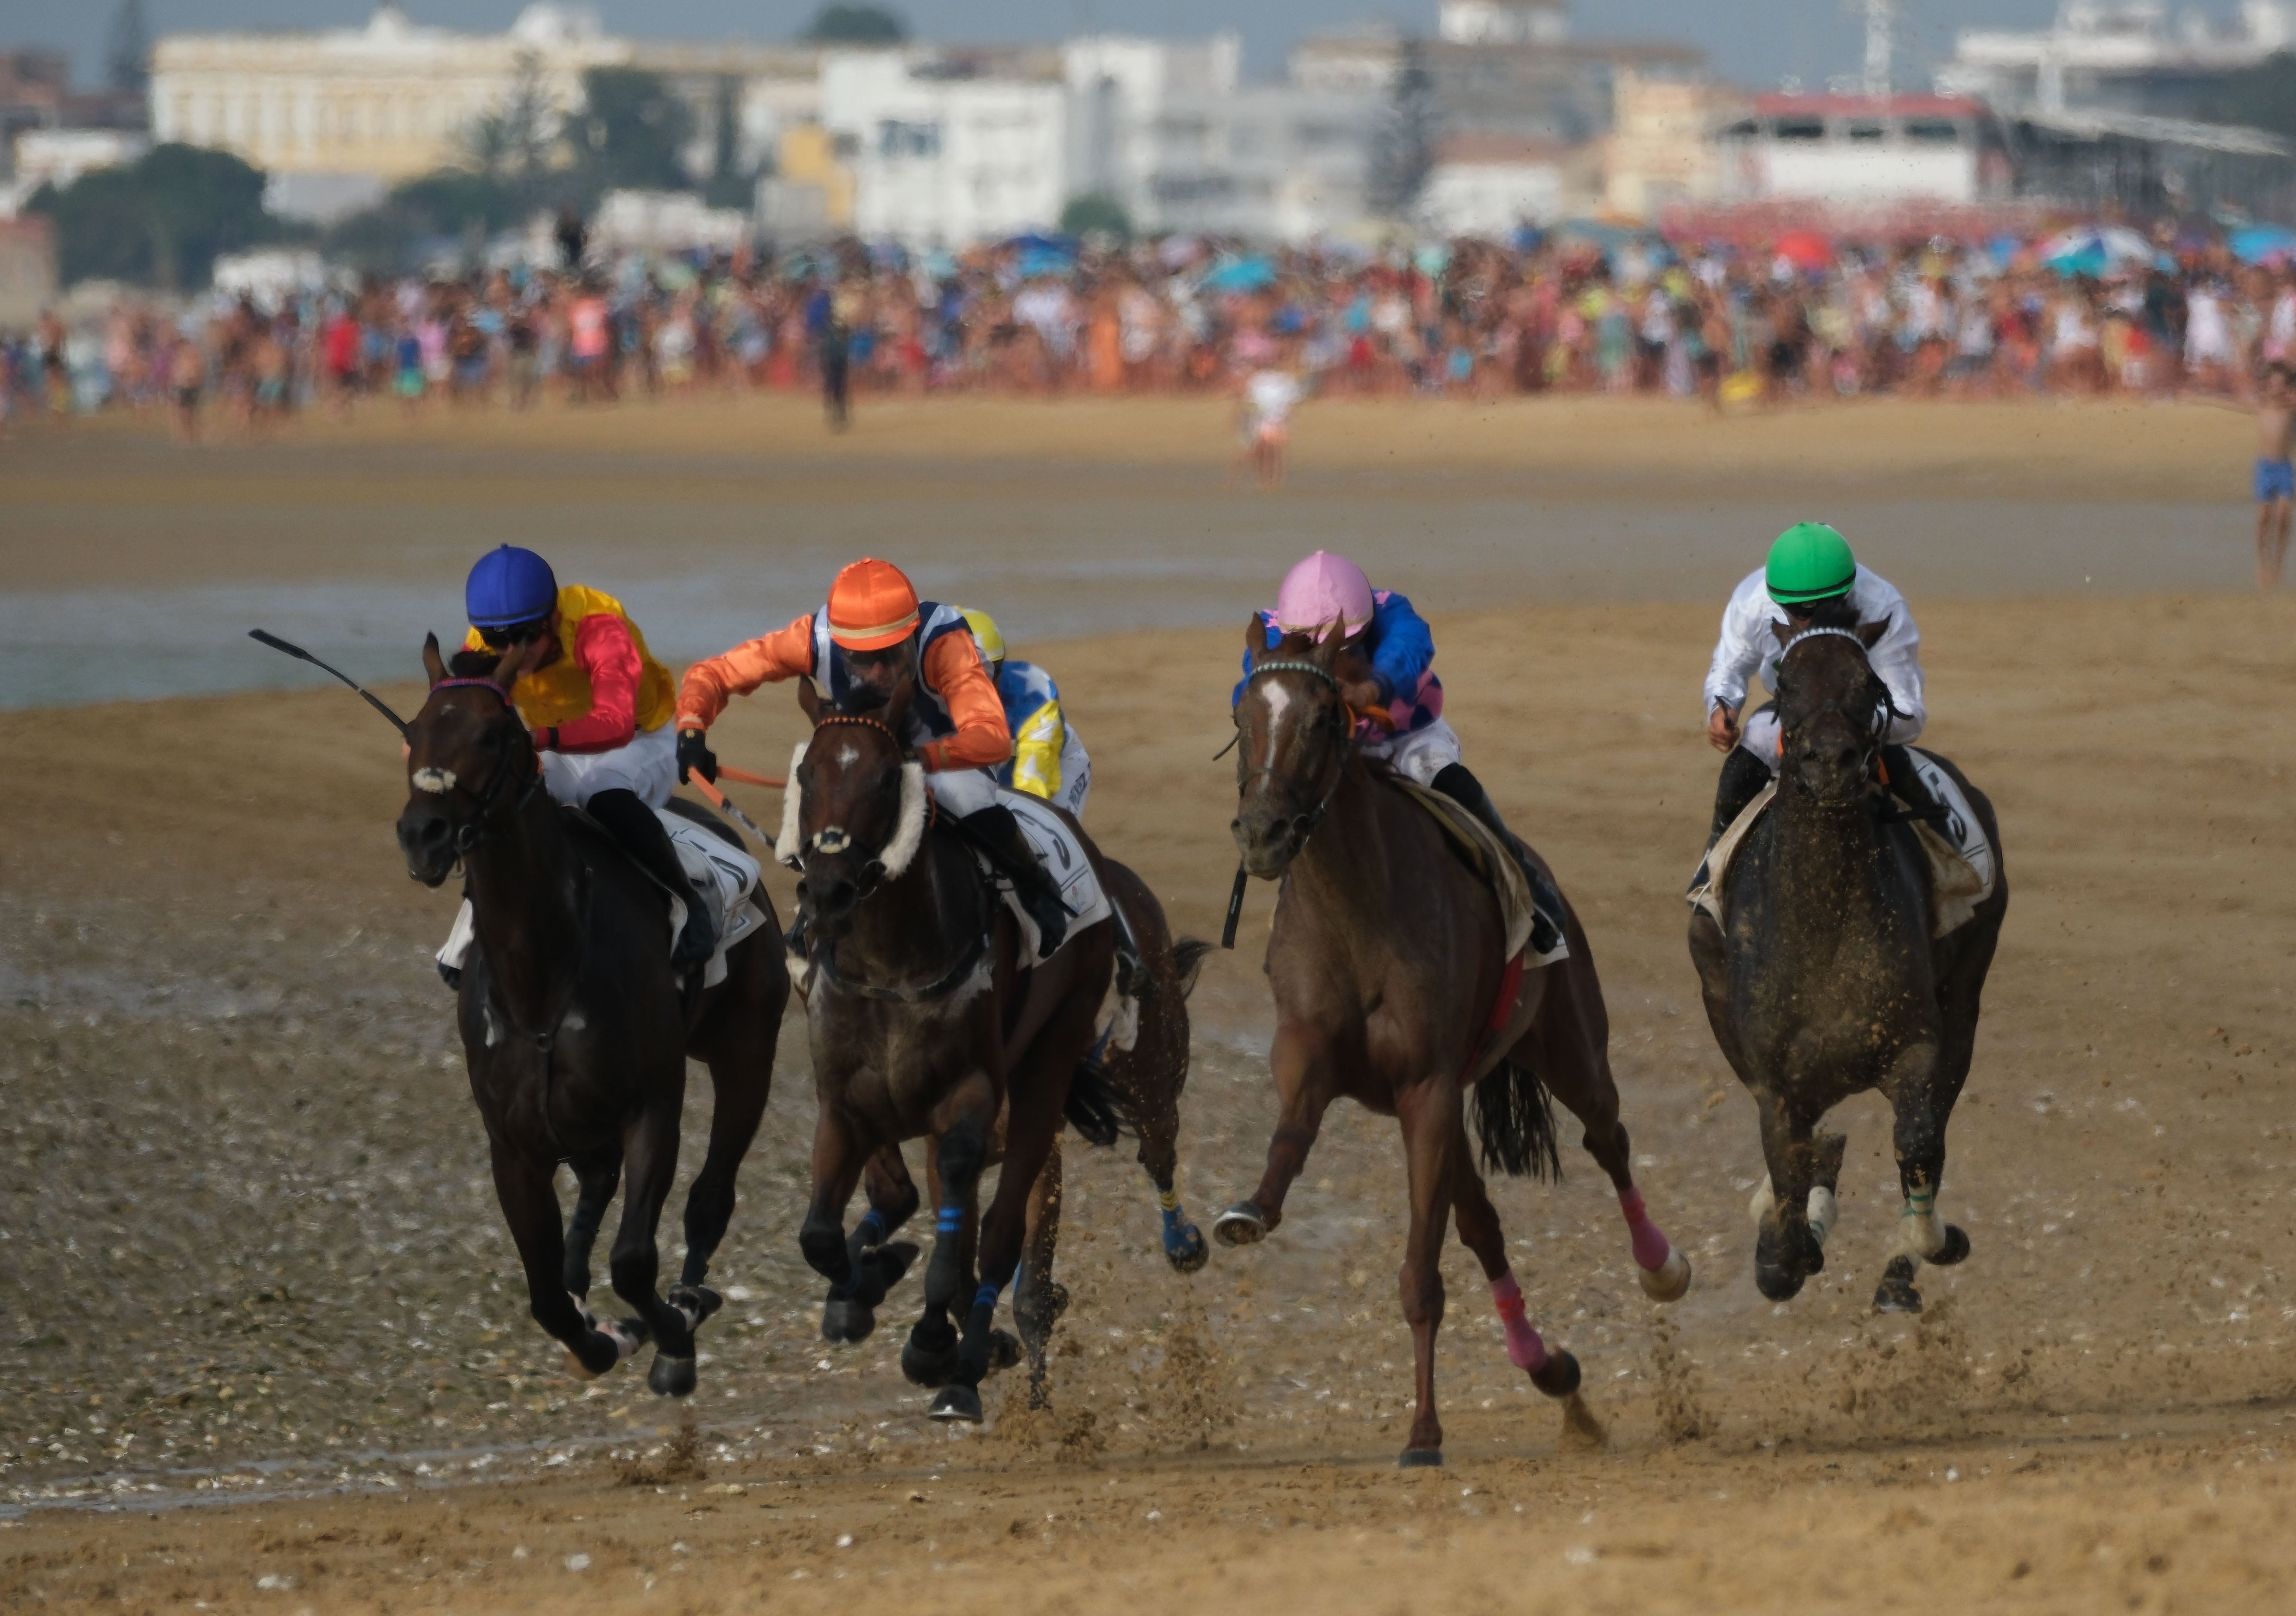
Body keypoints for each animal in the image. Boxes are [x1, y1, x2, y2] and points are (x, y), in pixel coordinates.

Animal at [395, 638, 790, 1396]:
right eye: (414, 730)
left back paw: (684, 1309)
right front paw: (595, 1336)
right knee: (600, 1176)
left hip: (747, 1048)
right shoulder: (514, 1143)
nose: (422, 834)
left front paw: (667, 1331)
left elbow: (635, 1261)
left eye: (492, 735)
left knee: (710, 1196)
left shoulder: (653, 1106)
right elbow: (546, 1295)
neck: (543, 977)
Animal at [780, 675, 1120, 1423]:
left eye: (886, 778)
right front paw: (864, 1286)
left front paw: (936, 1346)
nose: (827, 889)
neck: (889, 966)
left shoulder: (965, 1101)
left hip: (1051, 1058)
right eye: (805, 773)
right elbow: (821, 1236)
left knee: (997, 1237)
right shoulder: (843, 1106)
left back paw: (966, 1367)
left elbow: (953, 1249)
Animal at [1221, 620, 1689, 1469]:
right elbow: (1290, 1139)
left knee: (1608, 1140)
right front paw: (1250, 1209)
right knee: (1484, 1226)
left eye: (1324, 719)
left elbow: (1420, 1278)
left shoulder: (1427, 1088)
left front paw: (1423, 1435)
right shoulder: (1313, 1060)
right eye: (1243, 717)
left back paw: (1661, 1268)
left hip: (1571, 1047)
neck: (1356, 911)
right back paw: (1550, 1369)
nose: (1263, 834)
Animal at [1689, 601, 2011, 1313]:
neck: (1824, 925)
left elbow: (1918, 1143)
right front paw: (1791, 1229)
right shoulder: (1775, 1082)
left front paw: (1923, 1246)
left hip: (1967, 999)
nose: (1831, 762)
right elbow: (1785, 1225)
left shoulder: (1915, 1044)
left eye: (1868, 683)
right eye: (1783, 684)